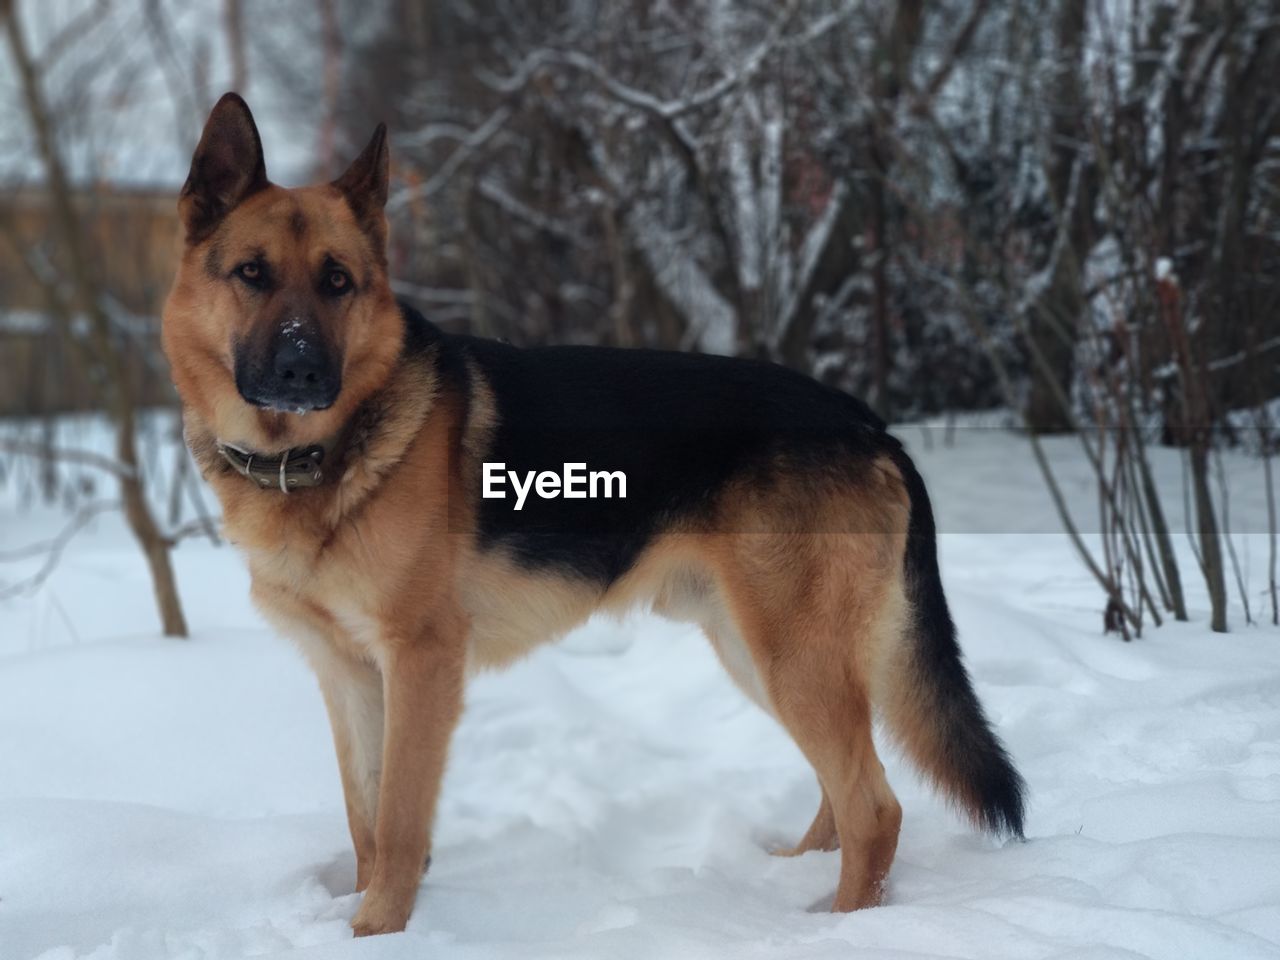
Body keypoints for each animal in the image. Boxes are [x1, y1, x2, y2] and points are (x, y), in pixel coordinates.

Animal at [162, 96, 1018, 942]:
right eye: (252, 274)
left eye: (337, 281)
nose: (303, 372)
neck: (317, 457)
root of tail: (869, 423)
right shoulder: (348, 675)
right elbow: (366, 823)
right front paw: (365, 918)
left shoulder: (421, 662)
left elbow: (400, 822)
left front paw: (379, 934)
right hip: (758, 651)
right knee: (844, 795)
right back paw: (794, 881)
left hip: (793, 657)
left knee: (875, 808)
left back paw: (837, 930)